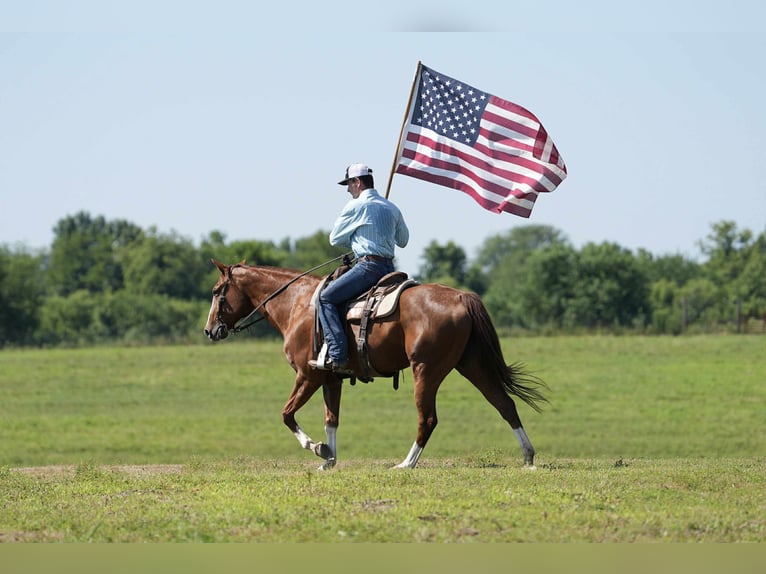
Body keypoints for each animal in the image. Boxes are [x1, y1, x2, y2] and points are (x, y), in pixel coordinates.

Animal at [204, 258, 547, 470]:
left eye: (218, 292)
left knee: (428, 419)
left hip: (426, 371)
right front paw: (329, 459)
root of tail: (462, 297)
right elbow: (331, 420)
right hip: (472, 365)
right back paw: (528, 456)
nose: (209, 330)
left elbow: (287, 415)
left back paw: (407, 463)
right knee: (504, 404)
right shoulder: (331, 379)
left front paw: (318, 448)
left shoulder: (308, 375)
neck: (299, 306)